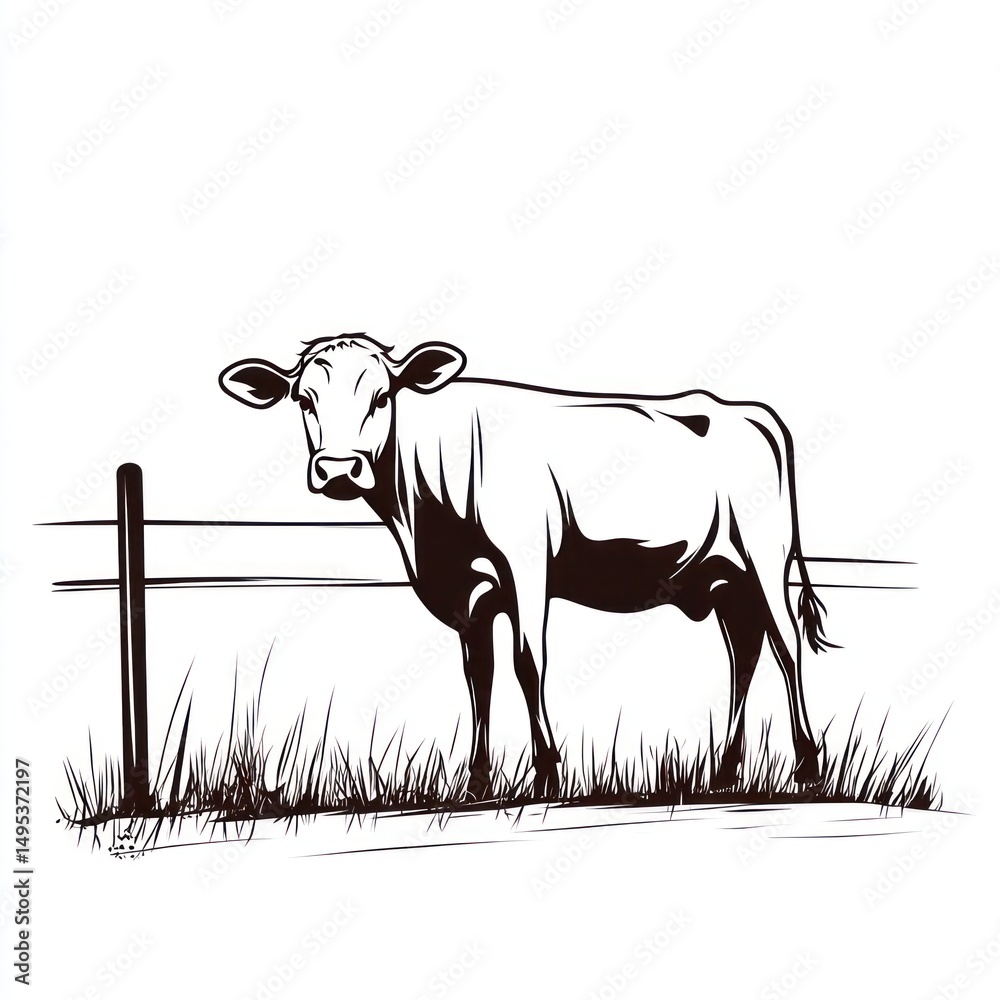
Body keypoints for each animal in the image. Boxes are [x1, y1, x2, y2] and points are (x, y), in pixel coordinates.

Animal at [220, 333, 834, 801]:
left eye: (381, 397)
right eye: (304, 401)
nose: (339, 470)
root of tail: (745, 410)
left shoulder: (527, 566)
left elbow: (527, 662)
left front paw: (547, 774)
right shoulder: (467, 594)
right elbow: (479, 676)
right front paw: (477, 783)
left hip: (764, 560)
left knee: (785, 647)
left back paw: (807, 767)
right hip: (723, 577)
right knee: (744, 653)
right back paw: (725, 774)